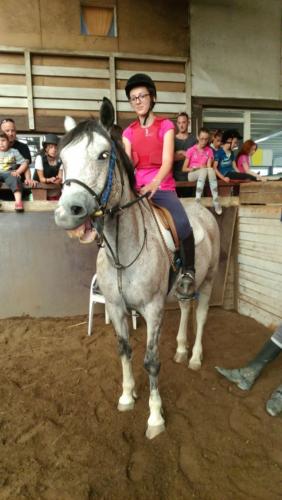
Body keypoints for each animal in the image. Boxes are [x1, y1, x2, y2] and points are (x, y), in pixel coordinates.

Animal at [54, 97, 219, 438]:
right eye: (62, 159)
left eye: (103, 155)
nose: (66, 214)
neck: (122, 251)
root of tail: (203, 210)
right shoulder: (116, 308)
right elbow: (124, 350)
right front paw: (127, 397)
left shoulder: (153, 309)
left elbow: (151, 361)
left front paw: (155, 417)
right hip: (182, 286)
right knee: (186, 308)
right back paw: (181, 351)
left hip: (208, 280)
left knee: (200, 314)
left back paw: (195, 357)